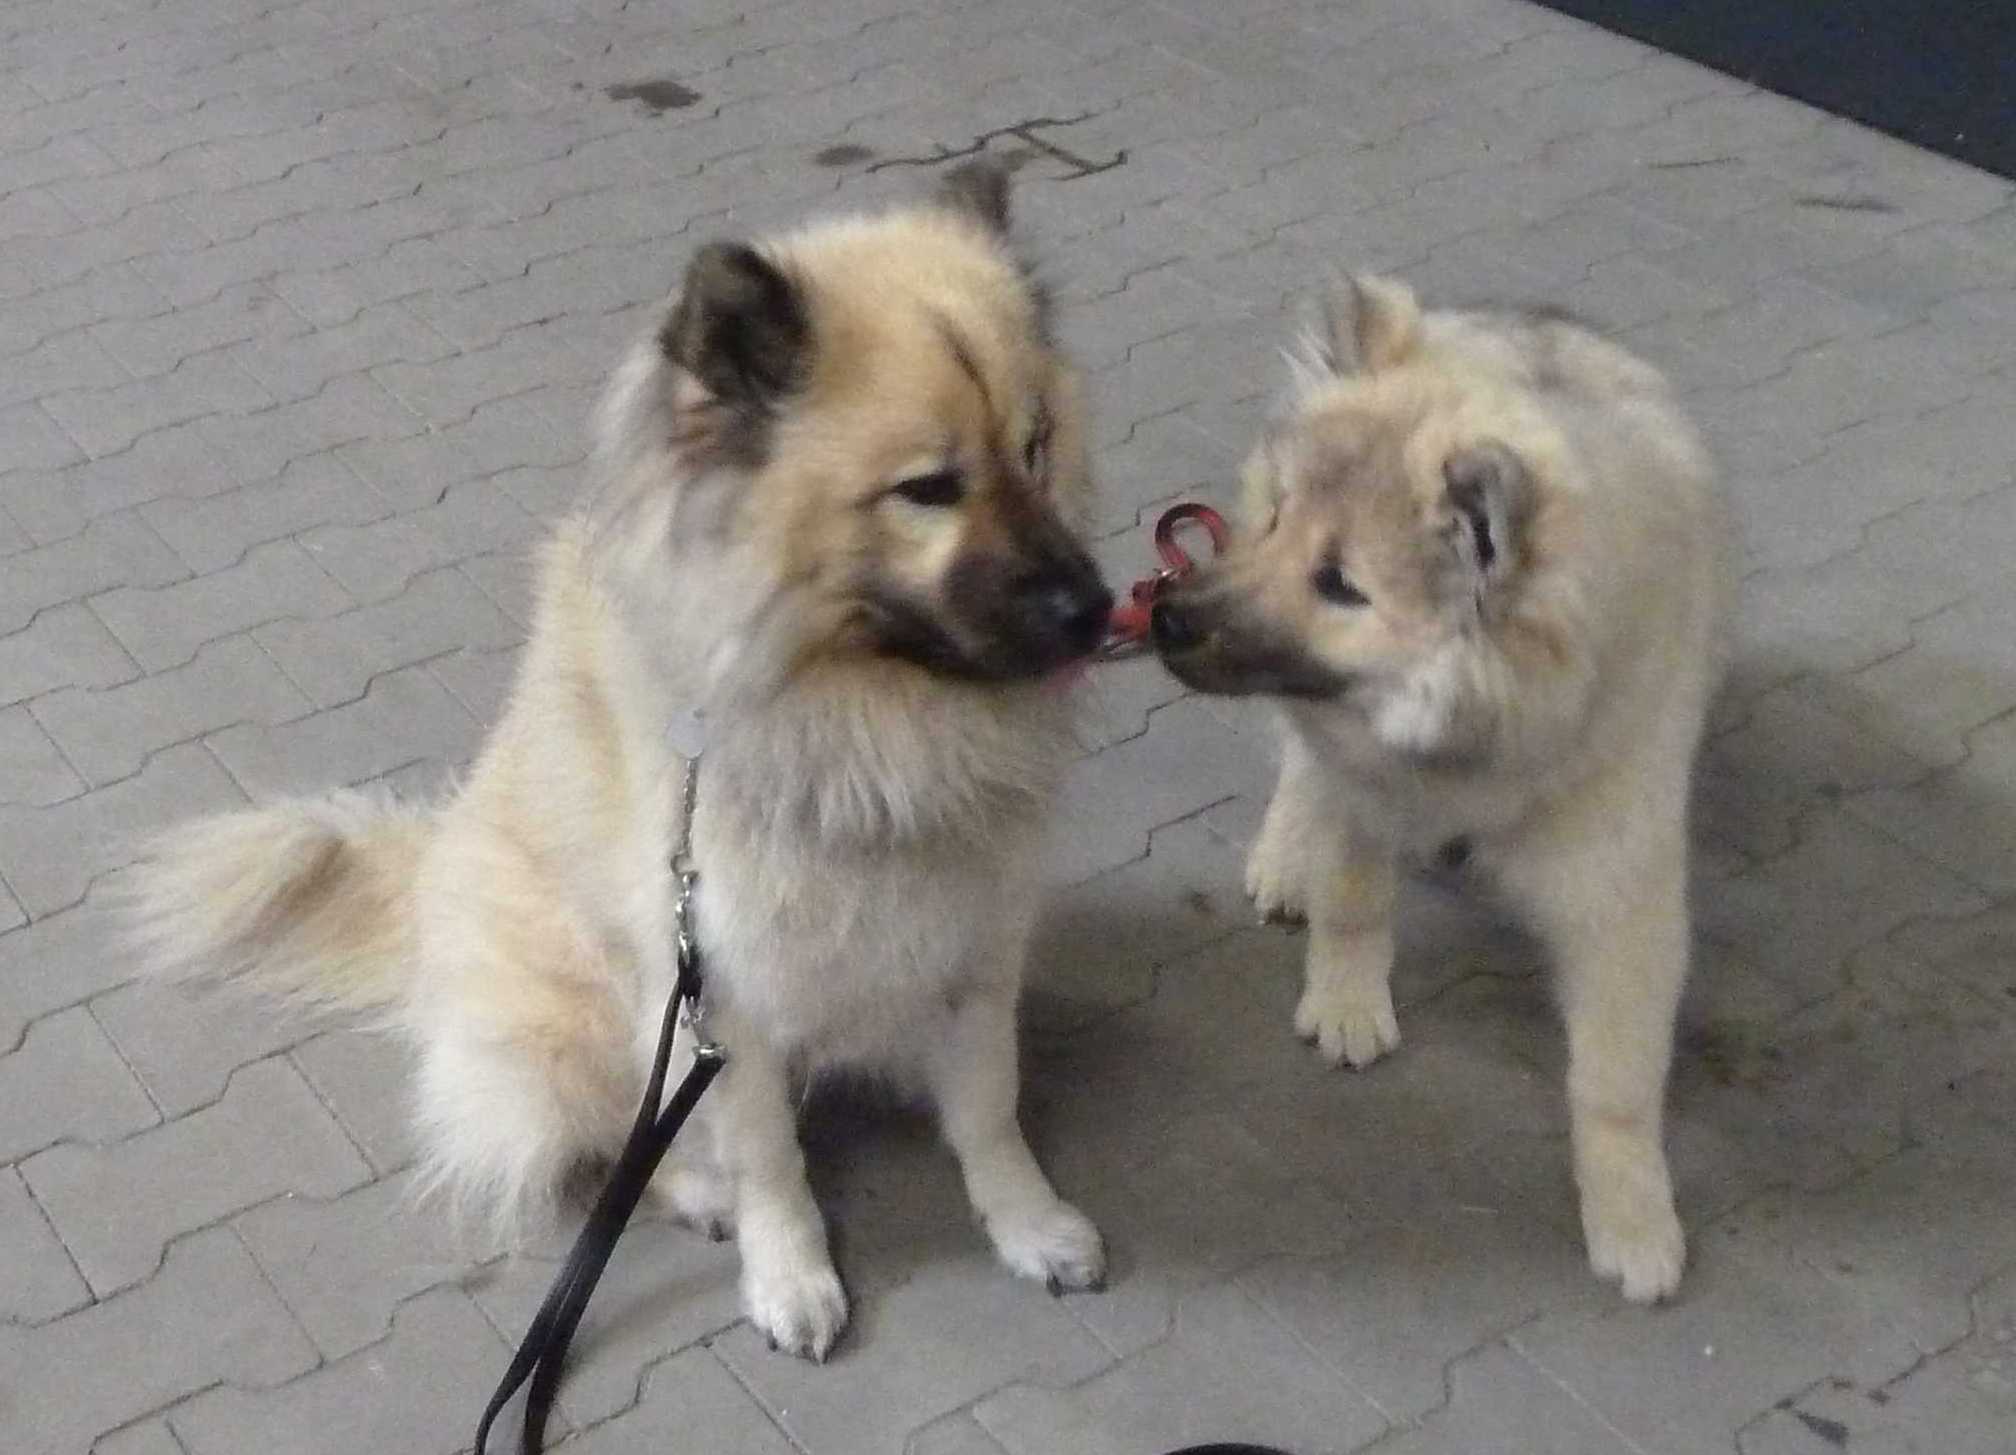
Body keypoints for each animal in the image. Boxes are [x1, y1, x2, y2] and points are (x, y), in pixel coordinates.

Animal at [123, 164, 1112, 1354]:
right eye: (928, 488)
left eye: (1035, 447)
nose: (1094, 608)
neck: (866, 711)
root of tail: (426, 888)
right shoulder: (718, 996)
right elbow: (768, 1156)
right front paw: (791, 1274)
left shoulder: (976, 947)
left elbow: (990, 1110)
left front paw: (1032, 1225)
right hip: (590, 1015)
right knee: (611, 1146)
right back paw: (698, 1192)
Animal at [1153, 274, 1733, 1305]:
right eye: (1277, 521)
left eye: (1340, 584)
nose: (1168, 615)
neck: (1471, 756)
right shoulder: (1361, 783)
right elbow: (1353, 899)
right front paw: (1347, 1001)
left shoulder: (1622, 891)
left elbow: (1617, 1081)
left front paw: (1632, 1214)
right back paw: (1285, 855)